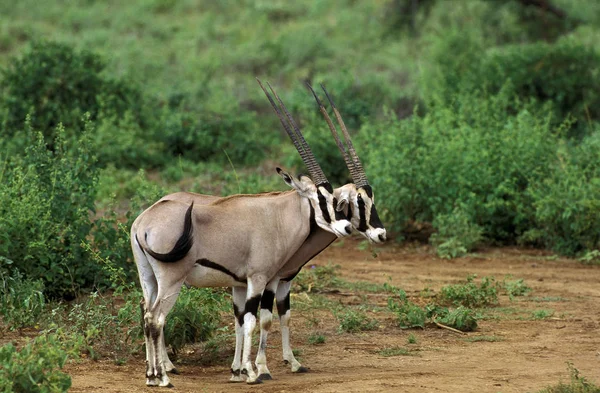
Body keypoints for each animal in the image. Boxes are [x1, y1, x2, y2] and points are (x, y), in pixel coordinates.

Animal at [148, 82, 386, 380]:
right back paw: (165, 367)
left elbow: (276, 316)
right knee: (157, 314)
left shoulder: (281, 281)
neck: (283, 217)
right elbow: (263, 319)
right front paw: (259, 368)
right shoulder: (267, 279)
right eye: (356, 202)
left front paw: (284, 363)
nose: (380, 233)